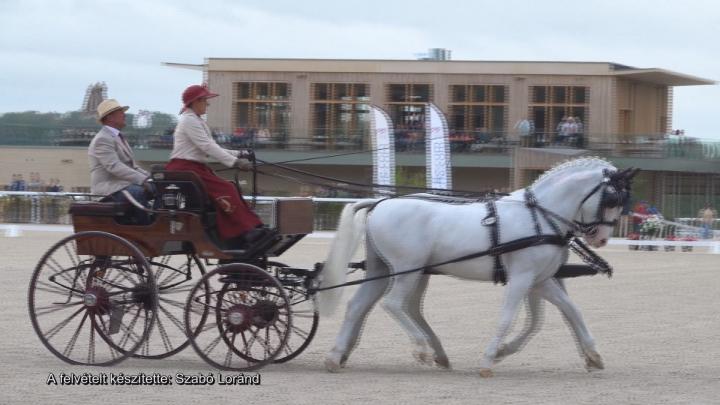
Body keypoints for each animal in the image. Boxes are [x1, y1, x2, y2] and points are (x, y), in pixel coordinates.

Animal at [318, 157, 640, 376]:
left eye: (622, 200)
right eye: (612, 198)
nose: (601, 238)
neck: (540, 217)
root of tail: (380, 203)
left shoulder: (541, 280)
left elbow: (569, 312)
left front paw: (593, 355)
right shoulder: (522, 278)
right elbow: (508, 318)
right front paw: (488, 360)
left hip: (383, 270)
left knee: (359, 306)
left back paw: (335, 357)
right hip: (407, 269)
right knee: (393, 304)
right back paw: (422, 349)